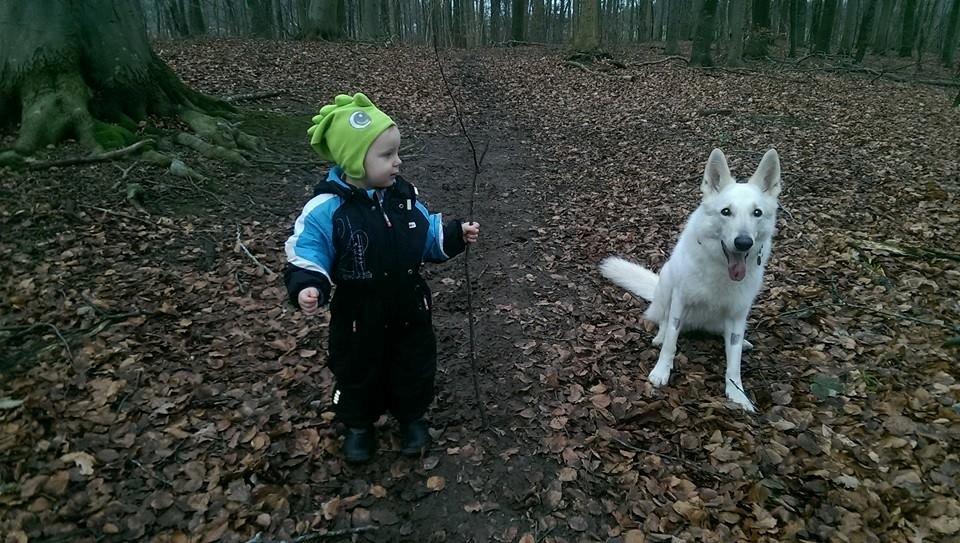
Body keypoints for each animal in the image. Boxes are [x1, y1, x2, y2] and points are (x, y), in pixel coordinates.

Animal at [600, 149, 780, 412]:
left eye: (757, 213)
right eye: (726, 211)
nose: (743, 242)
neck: (720, 268)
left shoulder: (737, 315)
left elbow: (734, 362)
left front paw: (738, 396)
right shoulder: (680, 300)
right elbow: (670, 342)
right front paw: (661, 372)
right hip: (666, 281)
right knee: (663, 320)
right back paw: (660, 335)